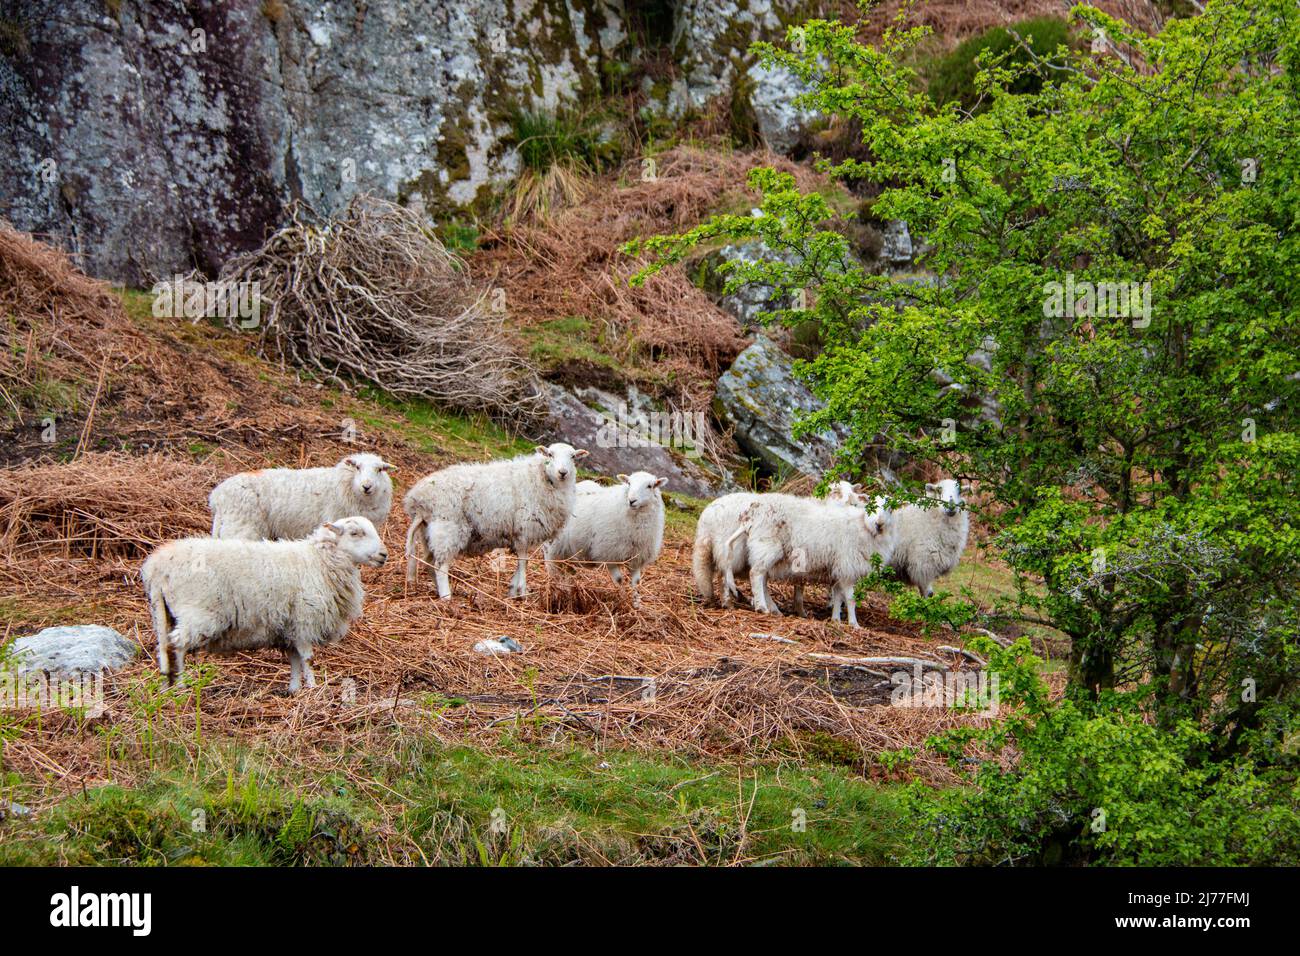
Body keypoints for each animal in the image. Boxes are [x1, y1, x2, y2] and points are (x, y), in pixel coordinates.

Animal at [142, 520, 387, 691]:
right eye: (355, 533)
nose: (384, 555)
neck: (318, 561)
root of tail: (156, 566)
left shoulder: (289, 627)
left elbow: (294, 659)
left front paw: (294, 690)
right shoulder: (304, 621)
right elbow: (307, 658)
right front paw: (314, 689)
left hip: (163, 612)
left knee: (164, 648)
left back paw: (166, 686)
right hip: (198, 613)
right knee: (179, 645)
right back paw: (182, 685)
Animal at [403, 442, 592, 598]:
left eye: (573, 457)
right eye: (550, 455)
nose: (563, 472)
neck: (543, 477)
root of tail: (418, 500)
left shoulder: (519, 535)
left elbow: (521, 562)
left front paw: (513, 590)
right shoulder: (524, 529)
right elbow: (524, 562)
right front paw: (522, 592)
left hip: (429, 532)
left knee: (428, 562)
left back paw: (438, 590)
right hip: (448, 528)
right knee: (440, 566)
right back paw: (446, 597)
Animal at [543, 473, 665, 606]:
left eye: (650, 486)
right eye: (629, 483)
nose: (632, 500)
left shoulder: (637, 558)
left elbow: (636, 582)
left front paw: (637, 604)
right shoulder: (609, 555)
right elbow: (619, 580)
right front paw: (622, 599)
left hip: (568, 554)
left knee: (567, 573)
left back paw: (568, 592)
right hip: (552, 549)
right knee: (553, 571)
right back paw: (556, 592)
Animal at [728, 494, 899, 629]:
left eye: (890, 509)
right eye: (871, 506)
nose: (879, 524)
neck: (864, 526)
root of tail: (751, 513)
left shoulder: (839, 568)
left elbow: (838, 595)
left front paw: (835, 620)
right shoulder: (847, 566)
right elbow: (850, 598)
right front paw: (854, 624)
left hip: (765, 550)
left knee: (762, 578)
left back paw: (774, 609)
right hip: (767, 545)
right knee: (756, 574)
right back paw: (762, 607)